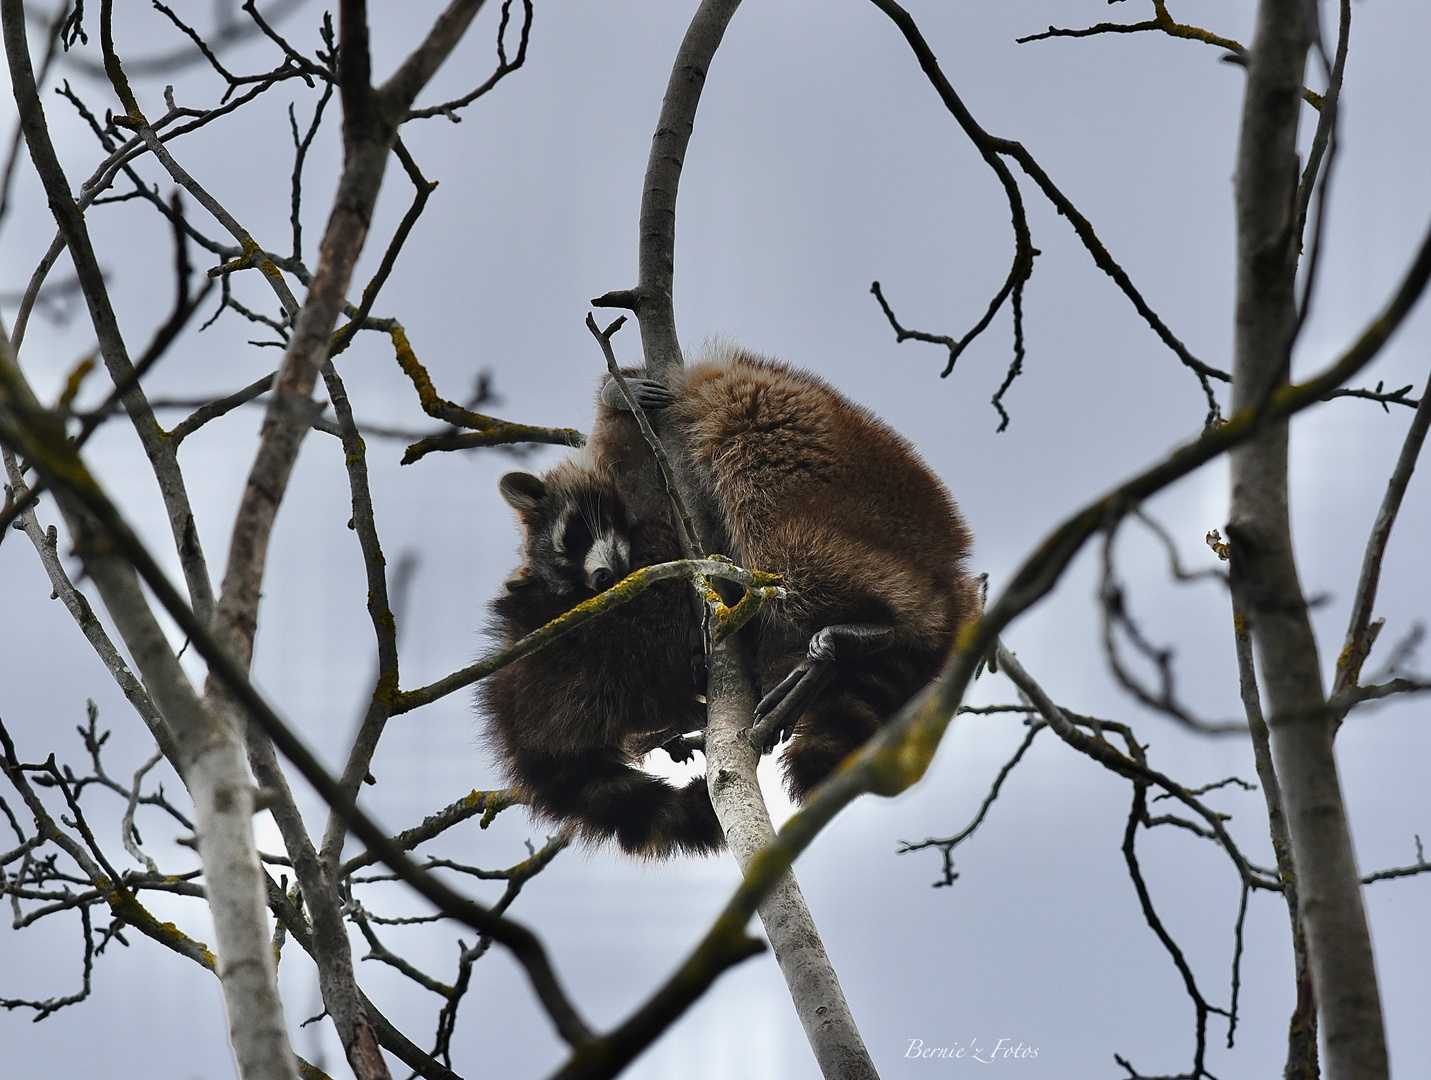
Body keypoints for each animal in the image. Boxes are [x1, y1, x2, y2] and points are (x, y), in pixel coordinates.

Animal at [486, 350, 978, 858]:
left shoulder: (645, 456)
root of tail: (949, 573)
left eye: (571, 539)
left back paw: (876, 626)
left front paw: (617, 390)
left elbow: (626, 405)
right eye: (573, 581)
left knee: (772, 522)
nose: (603, 579)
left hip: (842, 485)